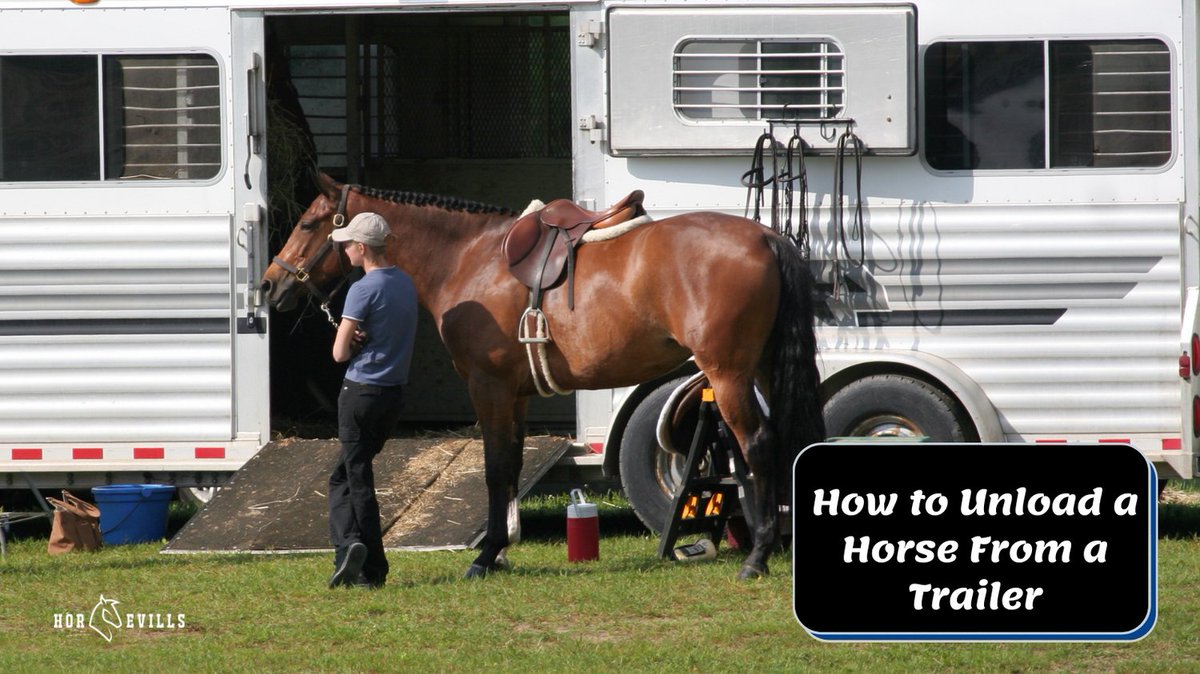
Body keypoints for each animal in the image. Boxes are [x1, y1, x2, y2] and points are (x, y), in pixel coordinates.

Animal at [262, 173, 825, 580]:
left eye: (309, 224)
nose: (269, 285)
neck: (469, 257)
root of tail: (766, 237)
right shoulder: (516, 393)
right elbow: (510, 465)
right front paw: (502, 549)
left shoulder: (487, 386)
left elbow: (493, 468)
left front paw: (486, 556)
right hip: (760, 370)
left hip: (727, 372)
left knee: (757, 444)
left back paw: (757, 558)